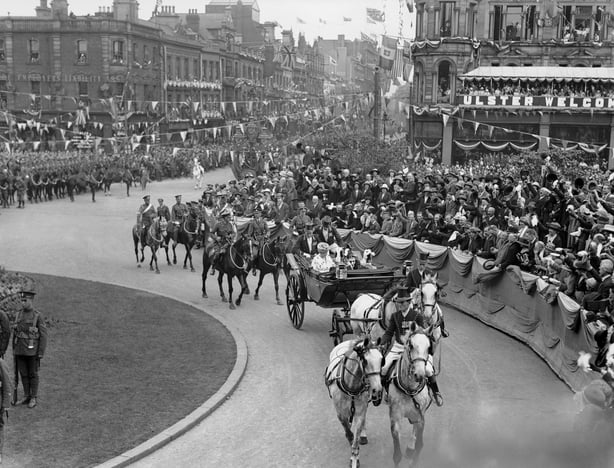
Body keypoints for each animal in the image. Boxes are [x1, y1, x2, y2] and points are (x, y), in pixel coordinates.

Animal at [328, 336, 384, 468]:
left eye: (381, 360)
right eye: (365, 361)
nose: (378, 390)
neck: (351, 386)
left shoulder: (360, 410)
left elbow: (357, 436)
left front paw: (354, 458)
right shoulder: (340, 412)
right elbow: (347, 430)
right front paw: (349, 437)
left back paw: (363, 434)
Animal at [388, 324, 436, 468]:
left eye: (428, 347)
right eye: (411, 345)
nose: (419, 375)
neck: (409, 390)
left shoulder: (421, 416)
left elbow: (419, 444)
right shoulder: (395, 417)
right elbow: (397, 455)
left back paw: (410, 447)